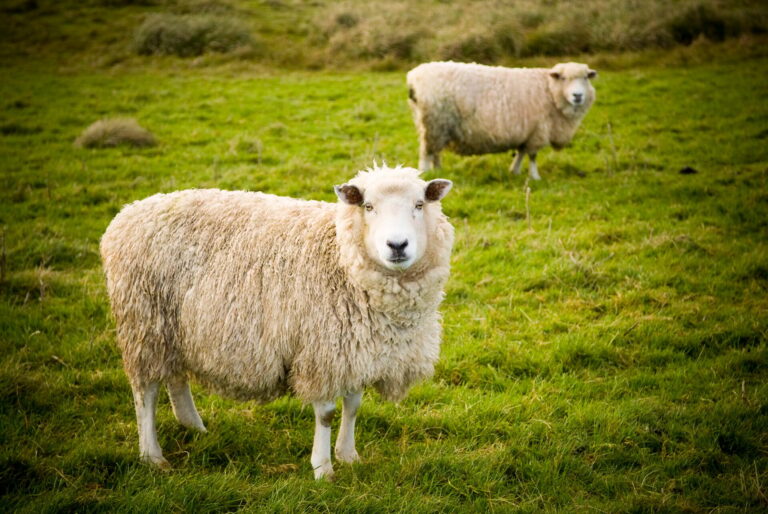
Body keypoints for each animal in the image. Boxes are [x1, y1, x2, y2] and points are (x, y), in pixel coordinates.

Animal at [100, 164, 454, 479]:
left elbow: (353, 405)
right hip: (143, 320)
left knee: (175, 376)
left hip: (175, 326)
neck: (340, 256)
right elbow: (326, 414)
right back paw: (152, 455)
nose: (397, 245)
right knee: (145, 391)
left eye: (419, 204)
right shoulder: (320, 350)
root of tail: (129, 213)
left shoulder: (354, 349)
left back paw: (193, 425)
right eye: (368, 206)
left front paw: (349, 455)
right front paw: (323, 468)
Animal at [407, 61, 597, 180]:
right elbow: (532, 156)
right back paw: (425, 173)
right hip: (433, 122)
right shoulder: (538, 130)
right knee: (426, 152)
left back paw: (438, 170)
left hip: (439, 126)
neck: (550, 90)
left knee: (435, 151)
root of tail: (414, 78)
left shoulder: (526, 131)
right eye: (564, 78)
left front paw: (515, 171)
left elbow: (521, 152)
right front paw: (535, 177)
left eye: (585, 78)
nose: (578, 96)